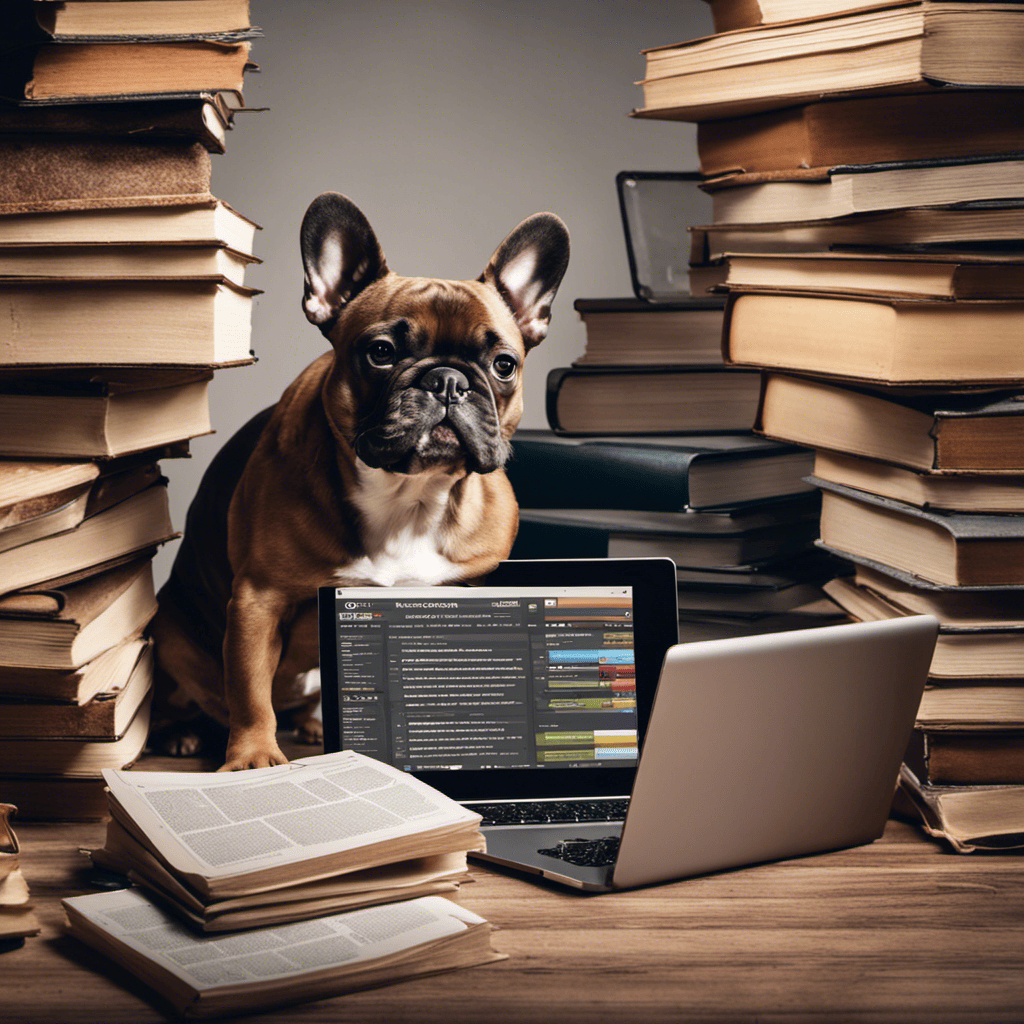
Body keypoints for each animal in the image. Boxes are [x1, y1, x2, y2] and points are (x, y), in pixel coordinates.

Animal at [149, 192, 573, 770]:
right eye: (381, 353)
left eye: (504, 364)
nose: (448, 380)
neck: (409, 496)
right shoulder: (259, 598)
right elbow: (250, 689)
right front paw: (254, 760)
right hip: (170, 638)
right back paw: (181, 735)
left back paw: (309, 726)